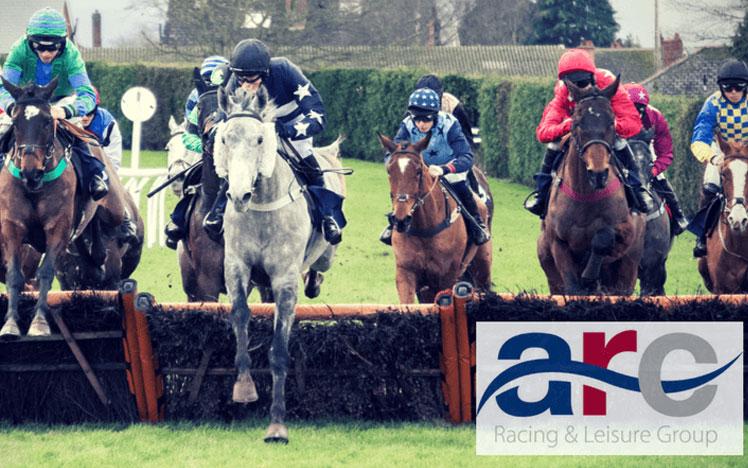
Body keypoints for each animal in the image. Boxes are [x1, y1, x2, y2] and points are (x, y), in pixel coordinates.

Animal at [213, 87, 344, 442]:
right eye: (225, 139)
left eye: (260, 139)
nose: (239, 195)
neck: (261, 208)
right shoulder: (236, 267)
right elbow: (239, 316)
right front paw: (244, 388)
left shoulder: (285, 278)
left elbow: (279, 350)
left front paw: (277, 424)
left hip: (326, 255)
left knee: (318, 270)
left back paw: (314, 281)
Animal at [376, 134, 494, 304]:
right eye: (389, 171)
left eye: (418, 171)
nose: (401, 220)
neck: (426, 229)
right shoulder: (407, 272)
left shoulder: (446, 277)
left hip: (482, 267)